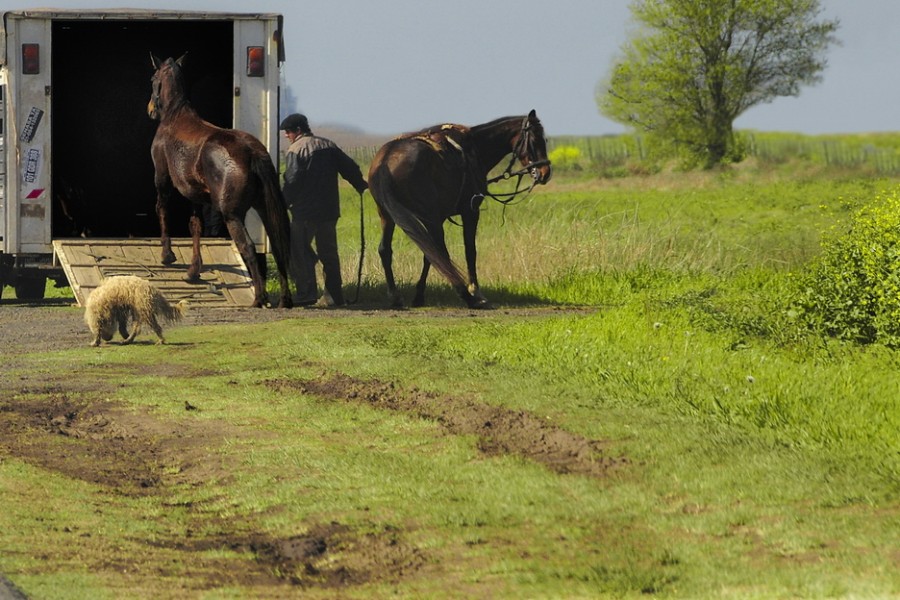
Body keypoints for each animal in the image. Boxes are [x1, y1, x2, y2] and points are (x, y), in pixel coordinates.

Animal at [146, 55, 290, 310]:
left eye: (153, 77)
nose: (150, 109)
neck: (175, 117)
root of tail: (252, 152)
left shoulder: (162, 178)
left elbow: (162, 209)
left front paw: (167, 256)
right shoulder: (195, 195)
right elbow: (195, 226)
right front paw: (193, 271)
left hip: (231, 215)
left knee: (248, 247)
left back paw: (259, 298)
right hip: (264, 209)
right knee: (278, 245)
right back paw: (284, 299)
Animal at [368, 110, 552, 310]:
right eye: (534, 139)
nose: (545, 173)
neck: (475, 149)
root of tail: (385, 162)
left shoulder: (439, 218)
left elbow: (428, 257)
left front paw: (419, 295)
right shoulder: (470, 212)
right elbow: (469, 251)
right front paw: (475, 290)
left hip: (387, 215)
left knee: (387, 250)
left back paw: (396, 297)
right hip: (429, 218)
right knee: (439, 253)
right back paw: (467, 296)